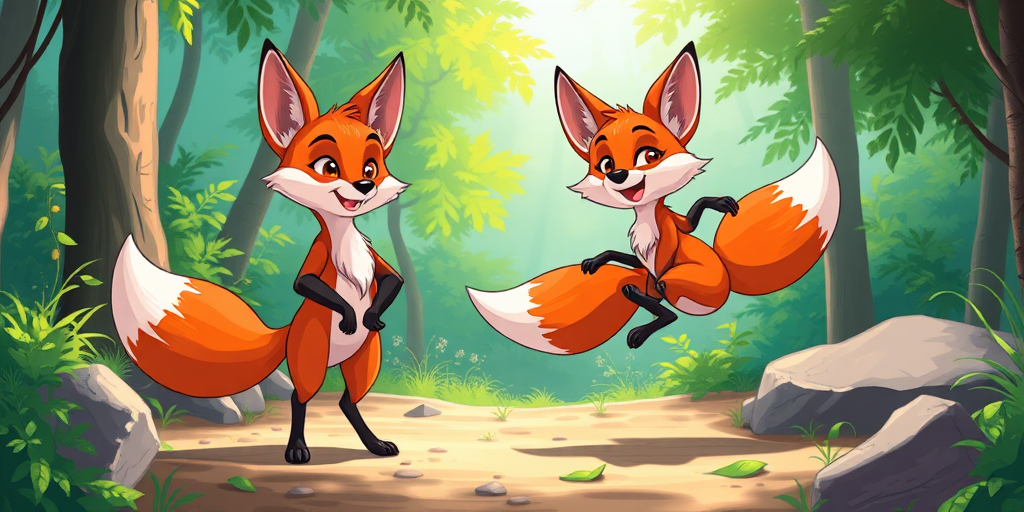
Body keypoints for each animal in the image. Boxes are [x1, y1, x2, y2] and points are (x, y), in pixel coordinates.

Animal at [110, 39, 409, 464]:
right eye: (328, 166)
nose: (364, 188)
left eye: (371, 167)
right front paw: (352, 315)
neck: (344, 237)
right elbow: (305, 283)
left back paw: (374, 444)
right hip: (312, 358)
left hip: (366, 360)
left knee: (347, 402)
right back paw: (297, 449)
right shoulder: (318, 256)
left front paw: (370, 315)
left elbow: (392, 279)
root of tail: (287, 333)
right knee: (302, 398)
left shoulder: (374, 261)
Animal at [467, 42, 840, 355]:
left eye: (649, 155)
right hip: (650, 281)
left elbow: (689, 222)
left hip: (672, 281)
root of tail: (731, 282)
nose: (618, 175)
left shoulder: (669, 237)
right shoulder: (640, 254)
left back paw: (640, 324)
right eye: (605, 164)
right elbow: (624, 255)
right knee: (647, 294)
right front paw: (598, 259)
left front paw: (719, 201)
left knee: (668, 310)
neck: (646, 218)